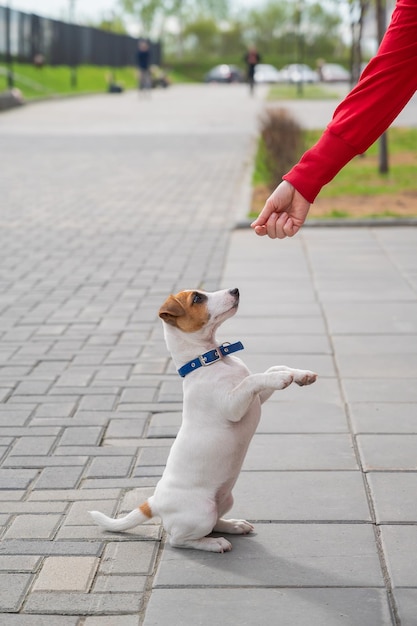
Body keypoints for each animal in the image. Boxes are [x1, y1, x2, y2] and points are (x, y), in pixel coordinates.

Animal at [88, 288, 316, 552]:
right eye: (197, 298)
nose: (235, 290)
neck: (210, 359)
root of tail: (155, 501)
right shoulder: (233, 405)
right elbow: (254, 379)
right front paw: (282, 378)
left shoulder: (256, 399)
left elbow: (273, 367)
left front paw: (300, 375)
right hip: (201, 512)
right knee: (179, 539)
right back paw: (214, 543)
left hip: (225, 499)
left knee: (216, 520)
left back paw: (234, 525)